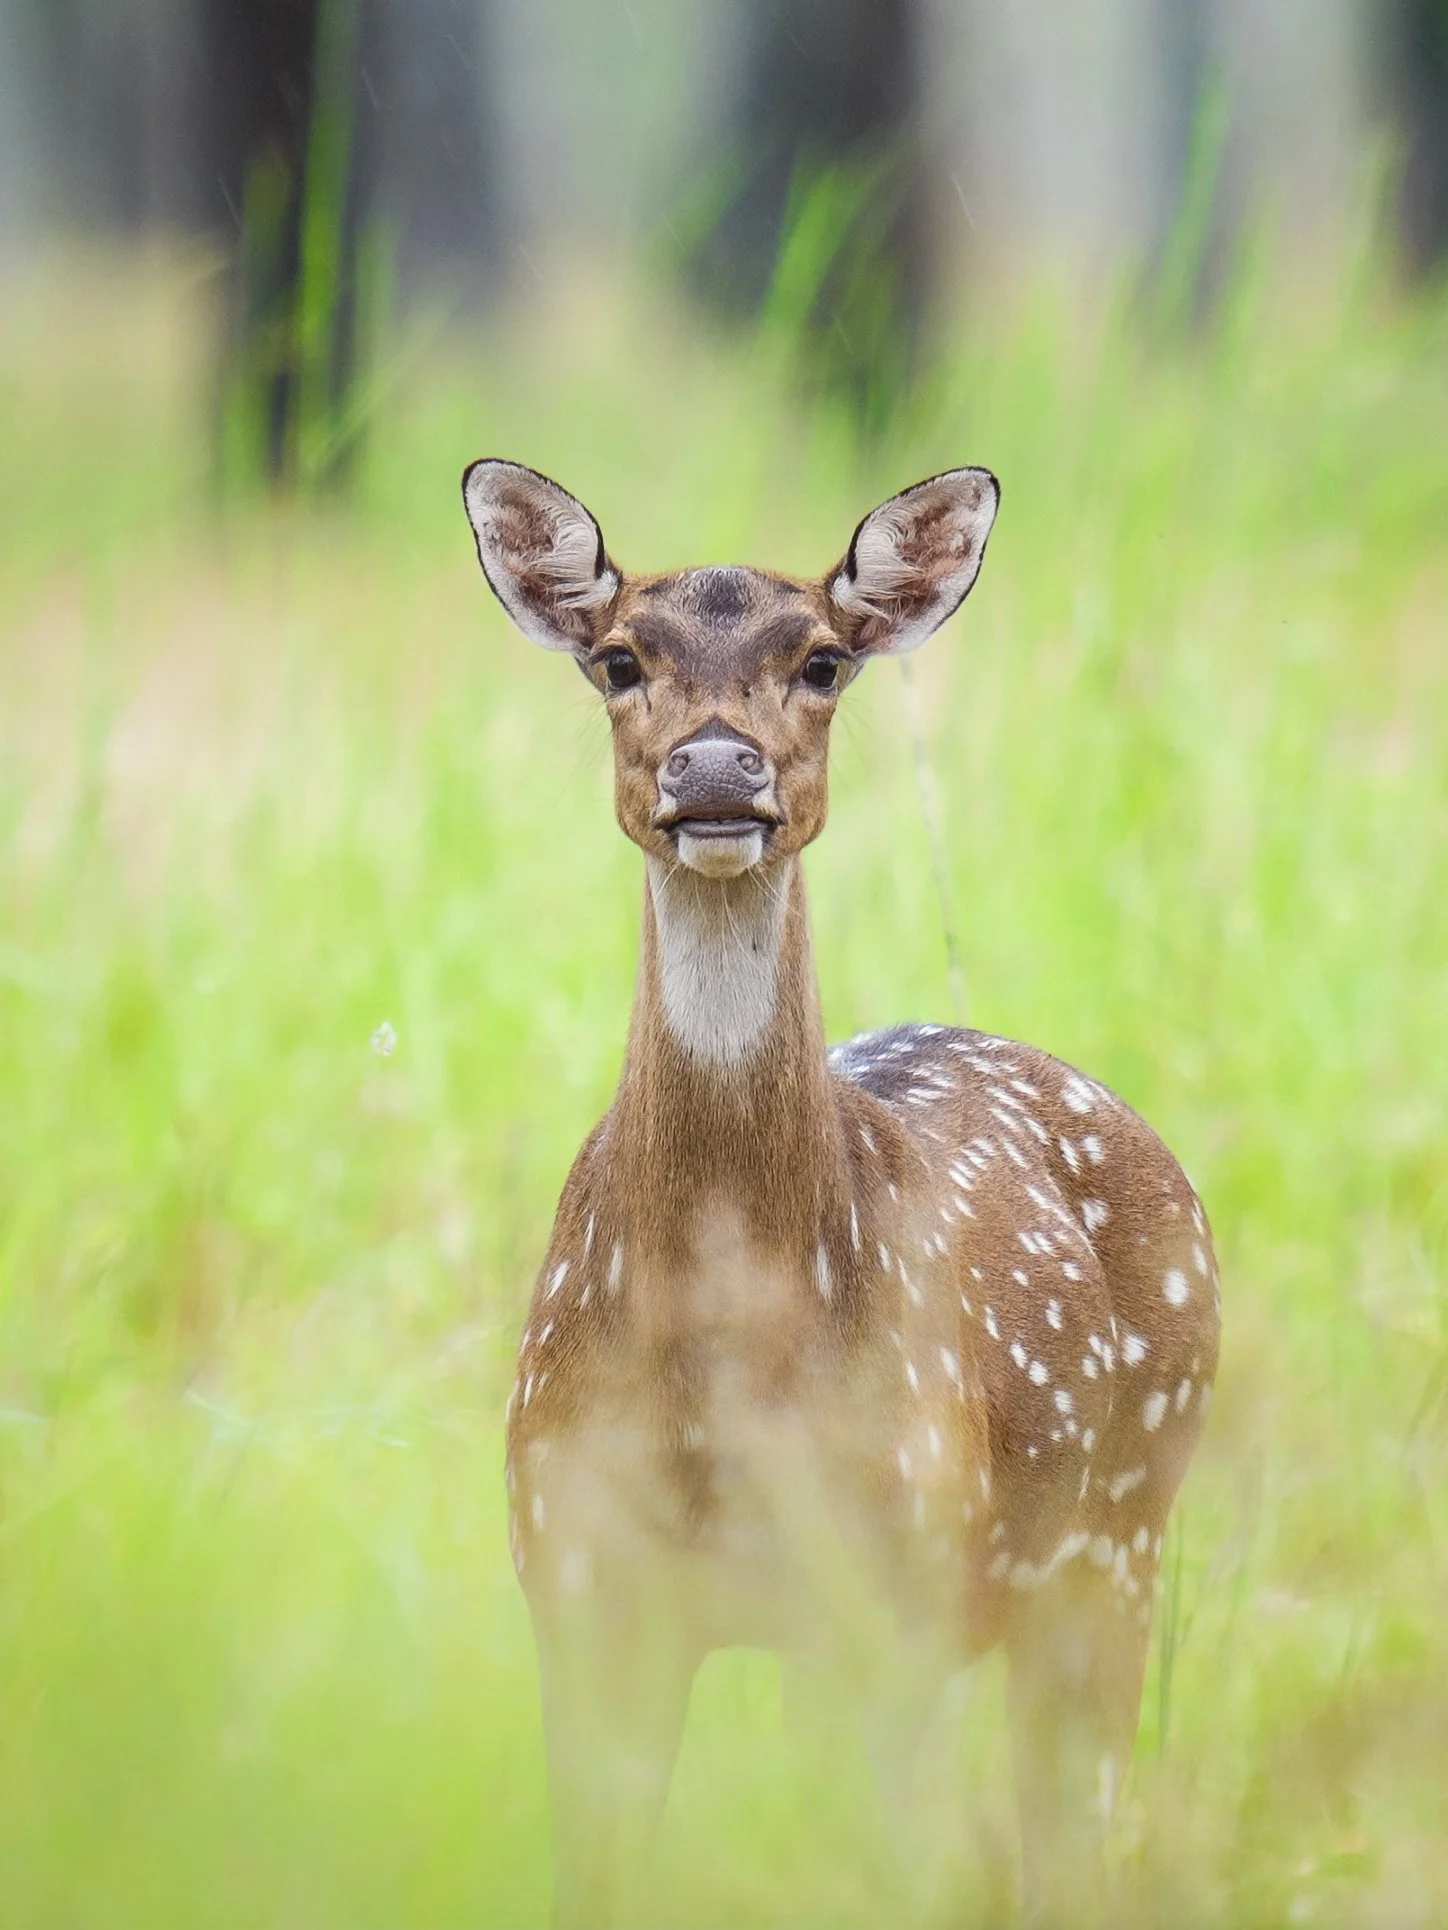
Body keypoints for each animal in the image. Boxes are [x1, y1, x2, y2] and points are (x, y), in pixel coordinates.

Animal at [461, 458, 1221, 1928]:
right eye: (618, 657)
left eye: (820, 659)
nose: (714, 767)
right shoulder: (575, 1579)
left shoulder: (888, 1590)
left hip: (1119, 1526)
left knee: (1072, 1836)